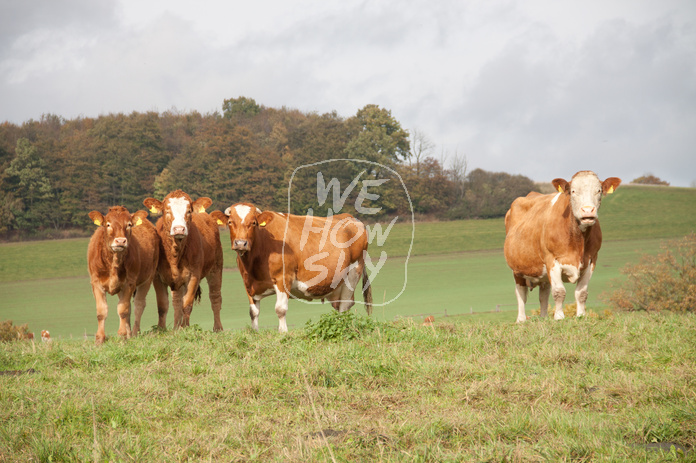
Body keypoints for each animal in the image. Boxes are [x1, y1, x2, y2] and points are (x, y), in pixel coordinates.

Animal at [86, 207, 162, 344]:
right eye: (108, 224)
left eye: (129, 224)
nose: (120, 241)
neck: (114, 263)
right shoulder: (96, 283)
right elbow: (101, 311)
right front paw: (99, 339)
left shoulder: (129, 283)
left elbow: (123, 310)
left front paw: (122, 336)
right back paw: (129, 333)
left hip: (147, 279)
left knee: (138, 305)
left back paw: (134, 333)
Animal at [143, 190, 224, 332]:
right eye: (167, 210)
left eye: (189, 211)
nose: (179, 229)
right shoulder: (157, 277)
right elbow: (163, 305)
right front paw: (161, 329)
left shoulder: (194, 276)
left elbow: (187, 304)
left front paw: (185, 328)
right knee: (176, 302)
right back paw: (175, 326)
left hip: (216, 268)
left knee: (215, 297)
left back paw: (218, 328)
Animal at [208, 205, 370, 332]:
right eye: (230, 222)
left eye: (253, 223)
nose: (241, 243)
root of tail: (350, 217)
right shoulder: (248, 282)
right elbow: (253, 312)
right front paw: (255, 333)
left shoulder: (283, 278)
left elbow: (280, 309)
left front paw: (283, 333)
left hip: (353, 272)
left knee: (344, 305)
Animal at [502, 170, 624, 322]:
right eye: (573, 191)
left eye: (599, 190)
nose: (588, 211)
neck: (578, 240)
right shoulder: (552, 260)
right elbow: (559, 292)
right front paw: (559, 317)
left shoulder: (591, 260)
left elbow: (581, 293)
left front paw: (581, 315)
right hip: (517, 269)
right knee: (521, 294)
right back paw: (521, 319)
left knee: (543, 294)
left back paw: (544, 317)